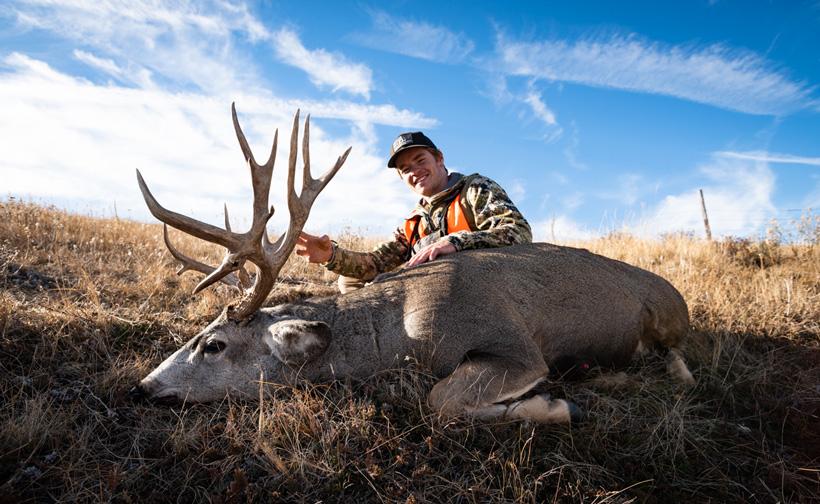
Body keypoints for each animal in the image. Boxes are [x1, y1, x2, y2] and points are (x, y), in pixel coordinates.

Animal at [129, 104, 695, 424]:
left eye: (214, 345)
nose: (143, 388)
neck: (396, 331)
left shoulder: (514, 346)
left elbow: (442, 400)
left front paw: (556, 405)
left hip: (666, 318)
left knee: (678, 362)